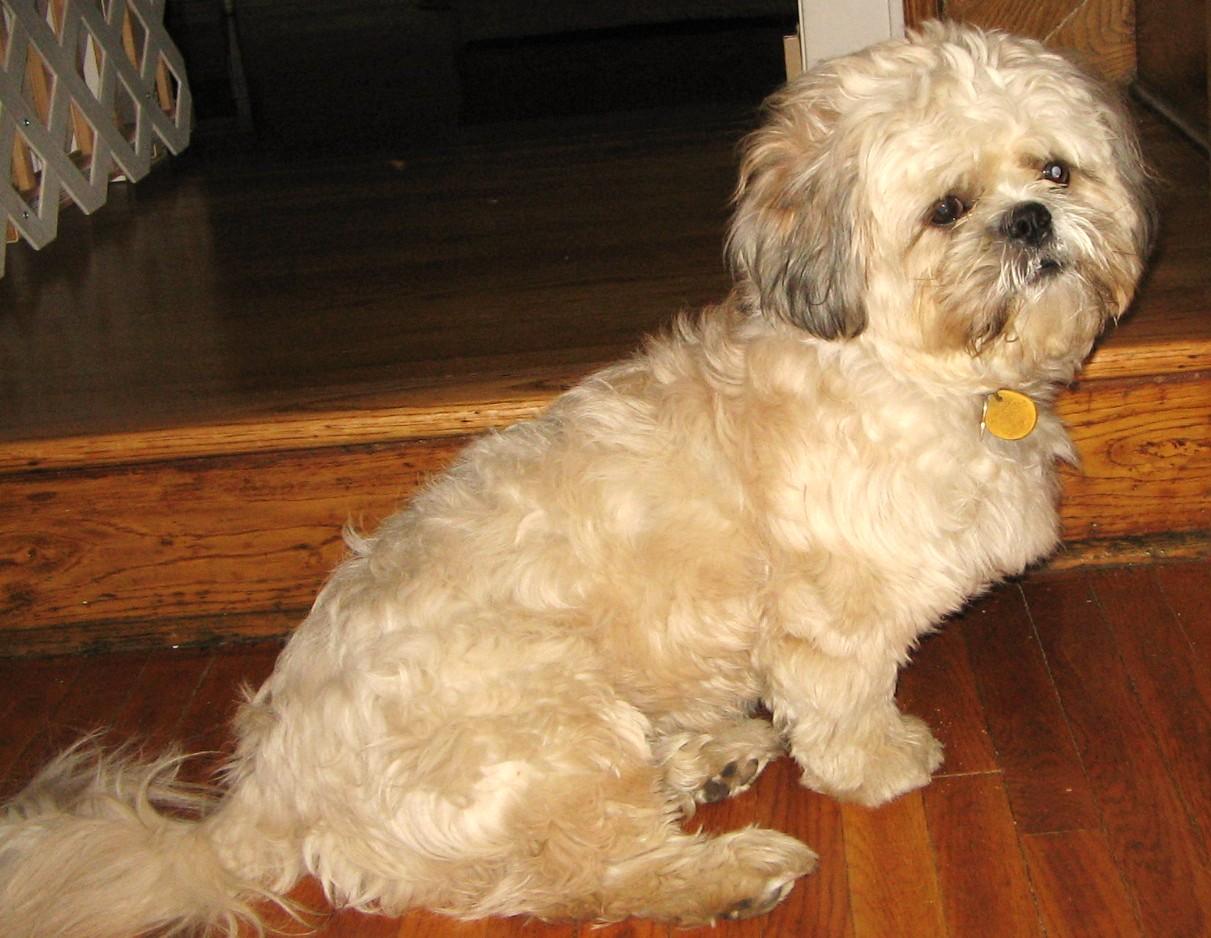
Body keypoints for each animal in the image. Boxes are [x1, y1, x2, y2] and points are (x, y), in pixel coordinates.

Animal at [0, 22, 1152, 938]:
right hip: (545, 710)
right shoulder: (830, 616)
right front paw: (881, 764)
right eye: (946, 207)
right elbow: (843, 708)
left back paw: (707, 757)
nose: (1029, 221)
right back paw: (731, 868)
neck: (909, 368)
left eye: (1053, 171)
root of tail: (264, 790)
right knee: (582, 872)